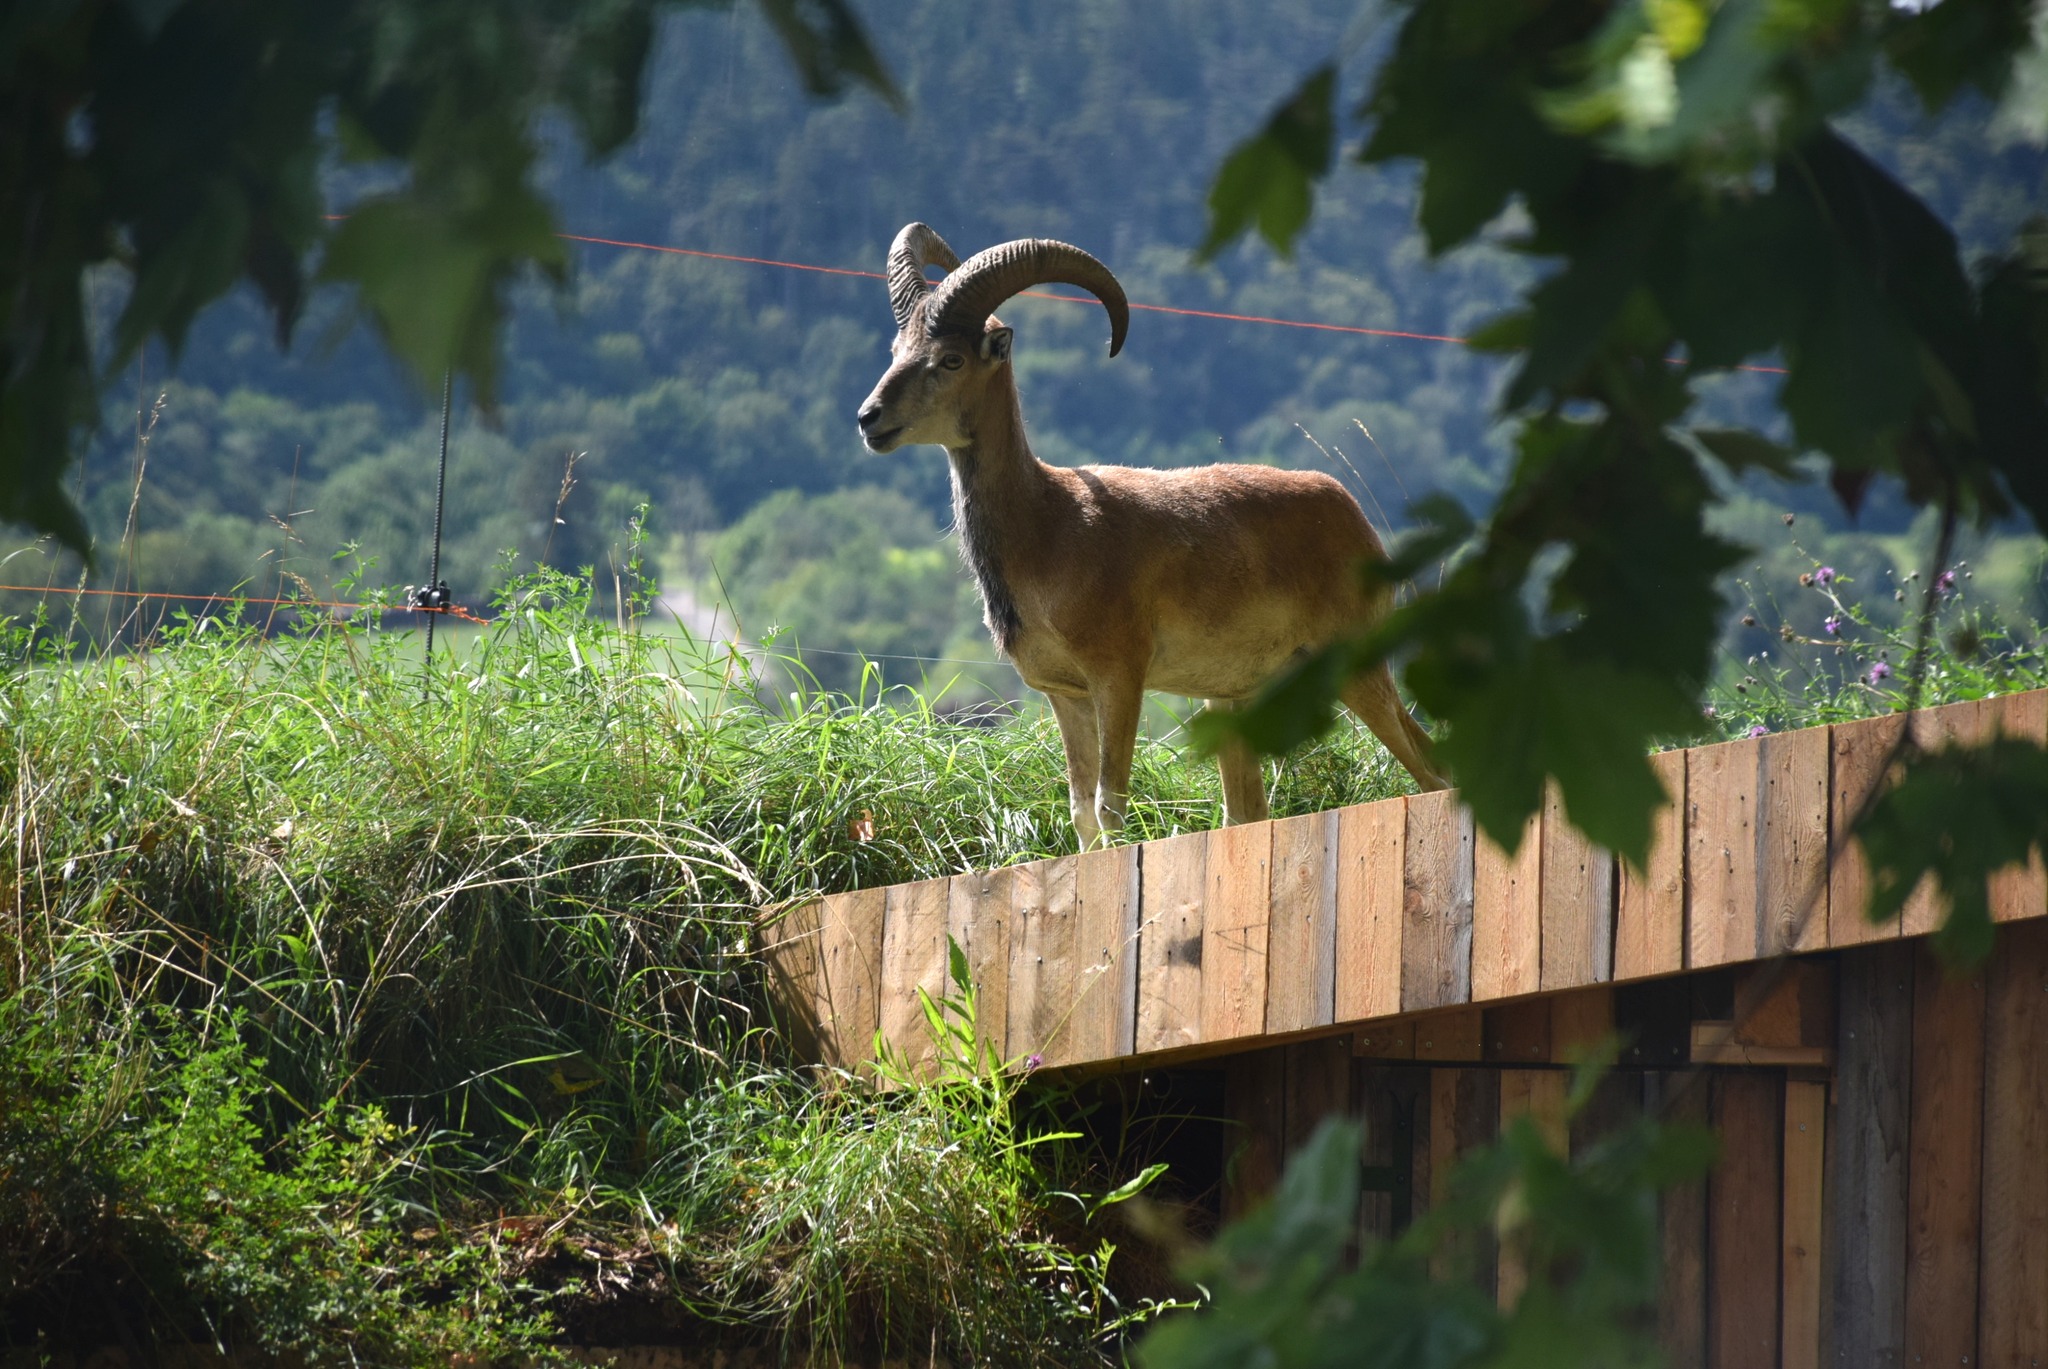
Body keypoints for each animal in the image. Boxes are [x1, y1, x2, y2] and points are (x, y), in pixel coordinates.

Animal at [856, 224, 1449, 844]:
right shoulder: (1065, 693)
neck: (1047, 526)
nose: (869, 419)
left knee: (1430, 771)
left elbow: (1108, 803)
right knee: (1251, 808)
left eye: (950, 359)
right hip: (1235, 696)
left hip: (1356, 662)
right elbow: (1079, 809)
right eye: (896, 352)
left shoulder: (1119, 673)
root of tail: (1358, 522)